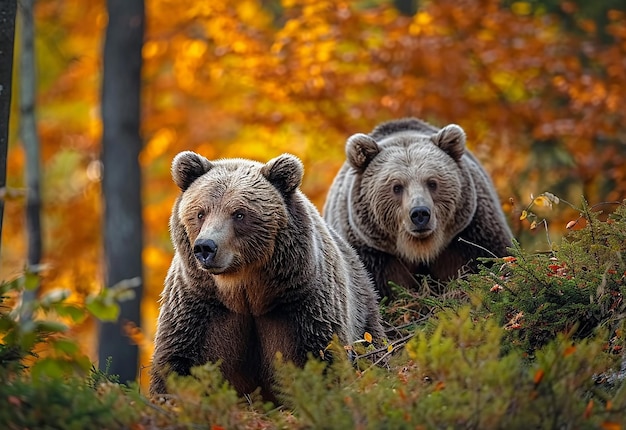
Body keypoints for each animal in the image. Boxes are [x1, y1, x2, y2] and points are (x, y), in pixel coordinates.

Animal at [150, 150, 386, 404]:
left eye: (239, 213)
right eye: (200, 213)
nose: (206, 247)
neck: (245, 291)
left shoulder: (303, 303)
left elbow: (323, 355)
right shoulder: (199, 305)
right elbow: (177, 360)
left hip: (364, 315)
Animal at [322, 117, 512, 298]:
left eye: (432, 182)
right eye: (396, 187)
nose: (420, 213)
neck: (420, 249)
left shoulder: (469, 235)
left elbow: (485, 260)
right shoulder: (372, 255)